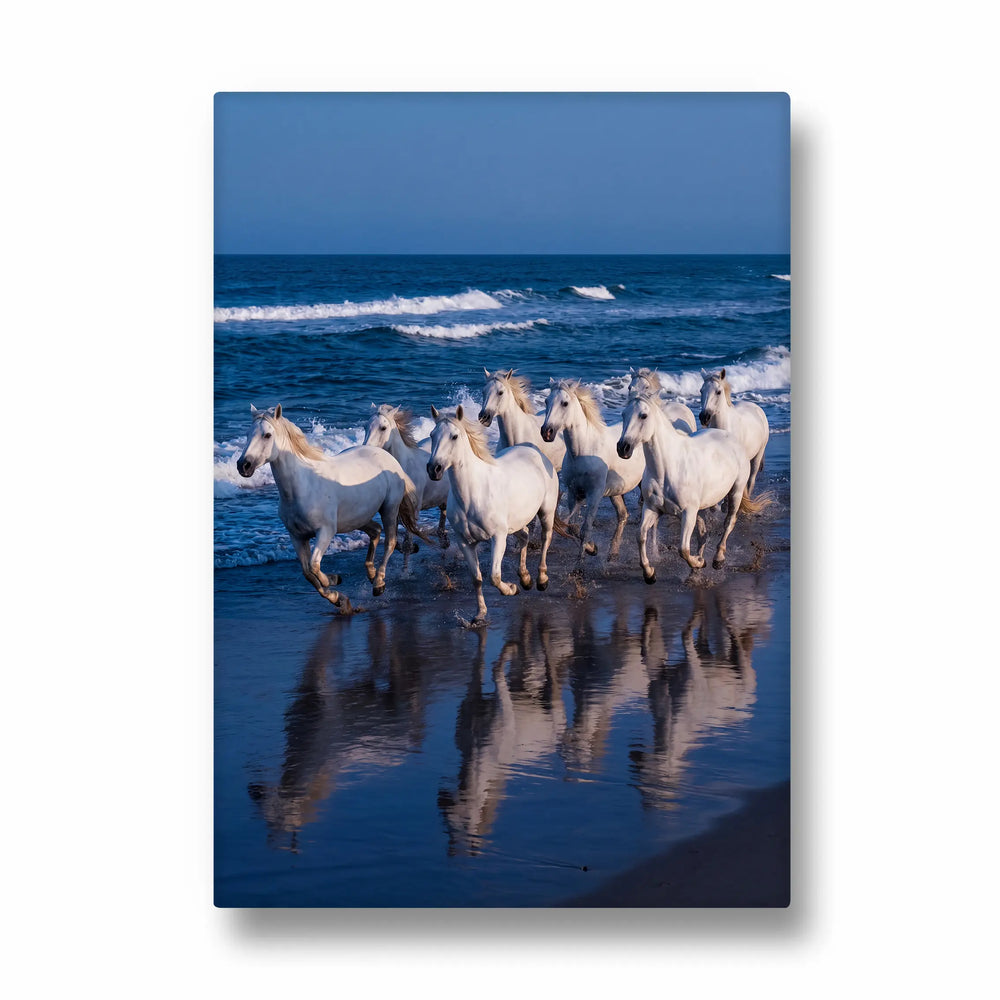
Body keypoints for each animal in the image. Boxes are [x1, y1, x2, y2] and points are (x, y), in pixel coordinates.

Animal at [237, 404, 428, 611]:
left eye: (267, 435)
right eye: (247, 434)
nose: (243, 465)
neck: (303, 487)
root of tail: (391, 460)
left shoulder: (325, 531)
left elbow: (313, 566)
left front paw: (332, 581)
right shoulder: (297, 536)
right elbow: (307, 572)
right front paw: (339, 597)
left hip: (389, 509)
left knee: (390, 541)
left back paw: (378, 582)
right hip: (356, 518)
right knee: (376, 531)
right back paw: (370, 573)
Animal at [363, 403, 450, 565]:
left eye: (383, 428)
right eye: (365, 426)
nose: (365, 448)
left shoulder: (413, 509)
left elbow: (408, 542)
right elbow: (397, 541)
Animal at [427, 405, 559, 625]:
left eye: (454, 436)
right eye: (432, 435)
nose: (433, 469)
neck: (472, 494)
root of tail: (534, 450)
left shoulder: (498, 537)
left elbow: (494, 577)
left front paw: (512, 589)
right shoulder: (465, 542)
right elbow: (477, 578)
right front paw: (479, 614)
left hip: (546, 512)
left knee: (545, 538)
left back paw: (541, 580)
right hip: (515, 523)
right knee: (525, 535)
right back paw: (525, 578)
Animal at [540, 378, 645, 562]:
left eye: (565, 403)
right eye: (546, 401)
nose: (547, 432)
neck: (583, 451)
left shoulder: (595, 494)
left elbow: (585, 528)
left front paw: (585, 555)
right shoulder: (574, 492)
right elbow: (574, 528)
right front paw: (593, 548)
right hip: (616, 492)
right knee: (623, 515)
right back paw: (613, 553)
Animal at [617, 390, 768, 580]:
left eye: (643, 415)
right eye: (623, 414)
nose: (623, 448)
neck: (667, 468)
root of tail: (730, 437)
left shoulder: (688, 512)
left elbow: (683, 549)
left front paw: (699, 562)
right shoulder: (652, 508)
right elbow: (641, 536)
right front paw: (649, 573)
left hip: (736, 492)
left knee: (729, 522)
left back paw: (718, 559)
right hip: (702, 507)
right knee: (703, 534)